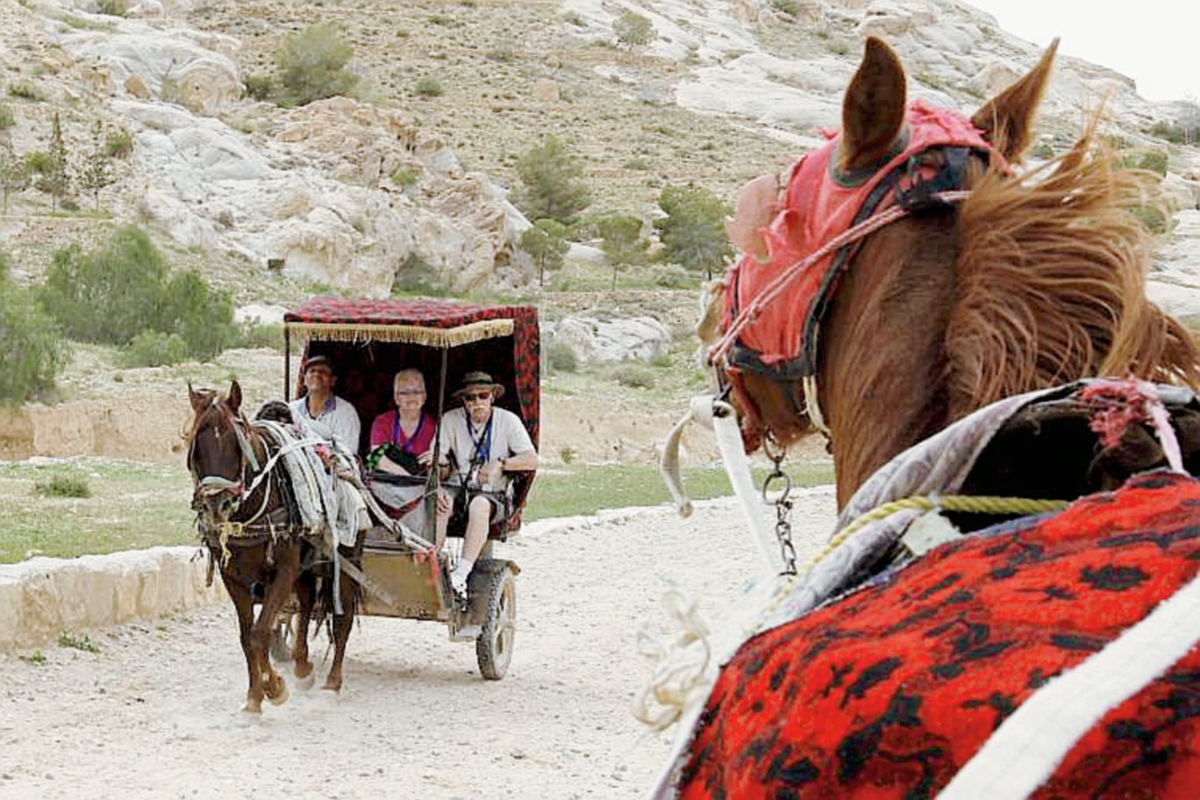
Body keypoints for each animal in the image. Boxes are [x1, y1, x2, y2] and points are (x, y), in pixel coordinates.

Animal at [184, 381, 357, 714]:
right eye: (196, 445)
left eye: (235, 443)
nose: (217, 505)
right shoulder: (233, 577)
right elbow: (246, 635)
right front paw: (255, 695)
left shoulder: (284, 571)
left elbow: (261, 632)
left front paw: (274, 687)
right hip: (305, 566)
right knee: (306, 602)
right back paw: (302, 666)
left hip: (346, 559)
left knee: (342, 620)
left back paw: (333, 682)